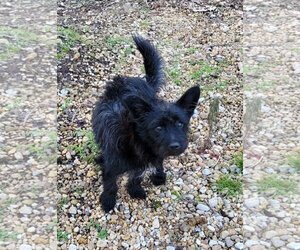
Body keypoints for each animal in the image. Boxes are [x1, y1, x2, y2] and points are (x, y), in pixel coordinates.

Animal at [91, 35, 199, 212]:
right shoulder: (112, 166)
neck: (136, 140)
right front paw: (108, 200)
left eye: (180, 124)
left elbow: (137, 176)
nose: (176, 146)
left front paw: (134, 189)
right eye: (158, 127)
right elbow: (111, 184)